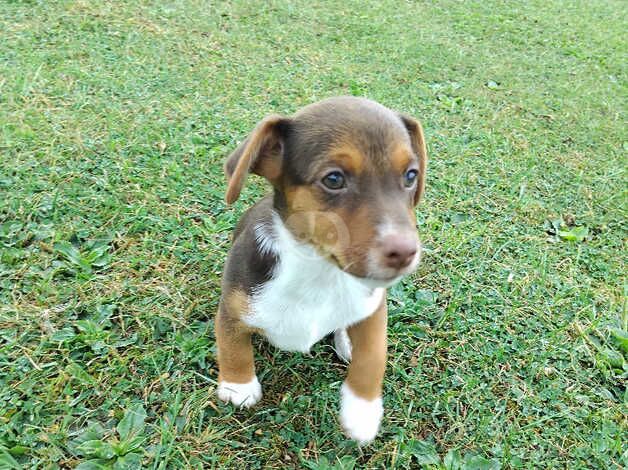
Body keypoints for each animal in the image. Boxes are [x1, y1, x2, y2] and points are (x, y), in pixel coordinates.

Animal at [216, 96, 426, 444]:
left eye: (411, 175)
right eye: (334, 179)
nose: (406, 252)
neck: (319, 269)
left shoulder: (374, 306)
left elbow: (374, 356)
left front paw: (362, 411)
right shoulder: (232, 310)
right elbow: (233, 348)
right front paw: (238, 387)